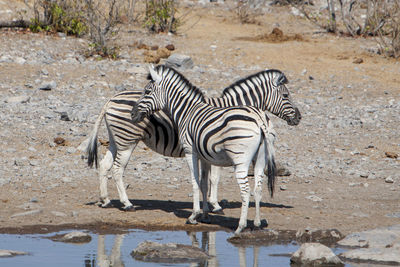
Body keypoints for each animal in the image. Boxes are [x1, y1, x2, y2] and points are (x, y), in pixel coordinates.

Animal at [86, 66, 300, 211]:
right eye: (286, 96)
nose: (299, 117)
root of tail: (110, 99)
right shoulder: (214, 149)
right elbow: (214, 178)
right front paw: (214, 205)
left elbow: (208, 178)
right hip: (127, 141)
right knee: (117, 169)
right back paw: (127, 203)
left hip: (116, 140)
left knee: (104, 165)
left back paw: (105, 200)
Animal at [131, 66, 278, 236]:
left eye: (147, 91)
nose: (132, 114)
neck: (186, 111)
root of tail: (260, 119)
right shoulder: (205, 157)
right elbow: (204, 183)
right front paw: (205, 215)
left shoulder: (190, 151)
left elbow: (195, 182)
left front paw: (193, 216)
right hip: (260, 158)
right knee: (258, 189)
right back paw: (257, 224)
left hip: (240, 160)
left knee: (246, 191)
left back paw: (240, 226)